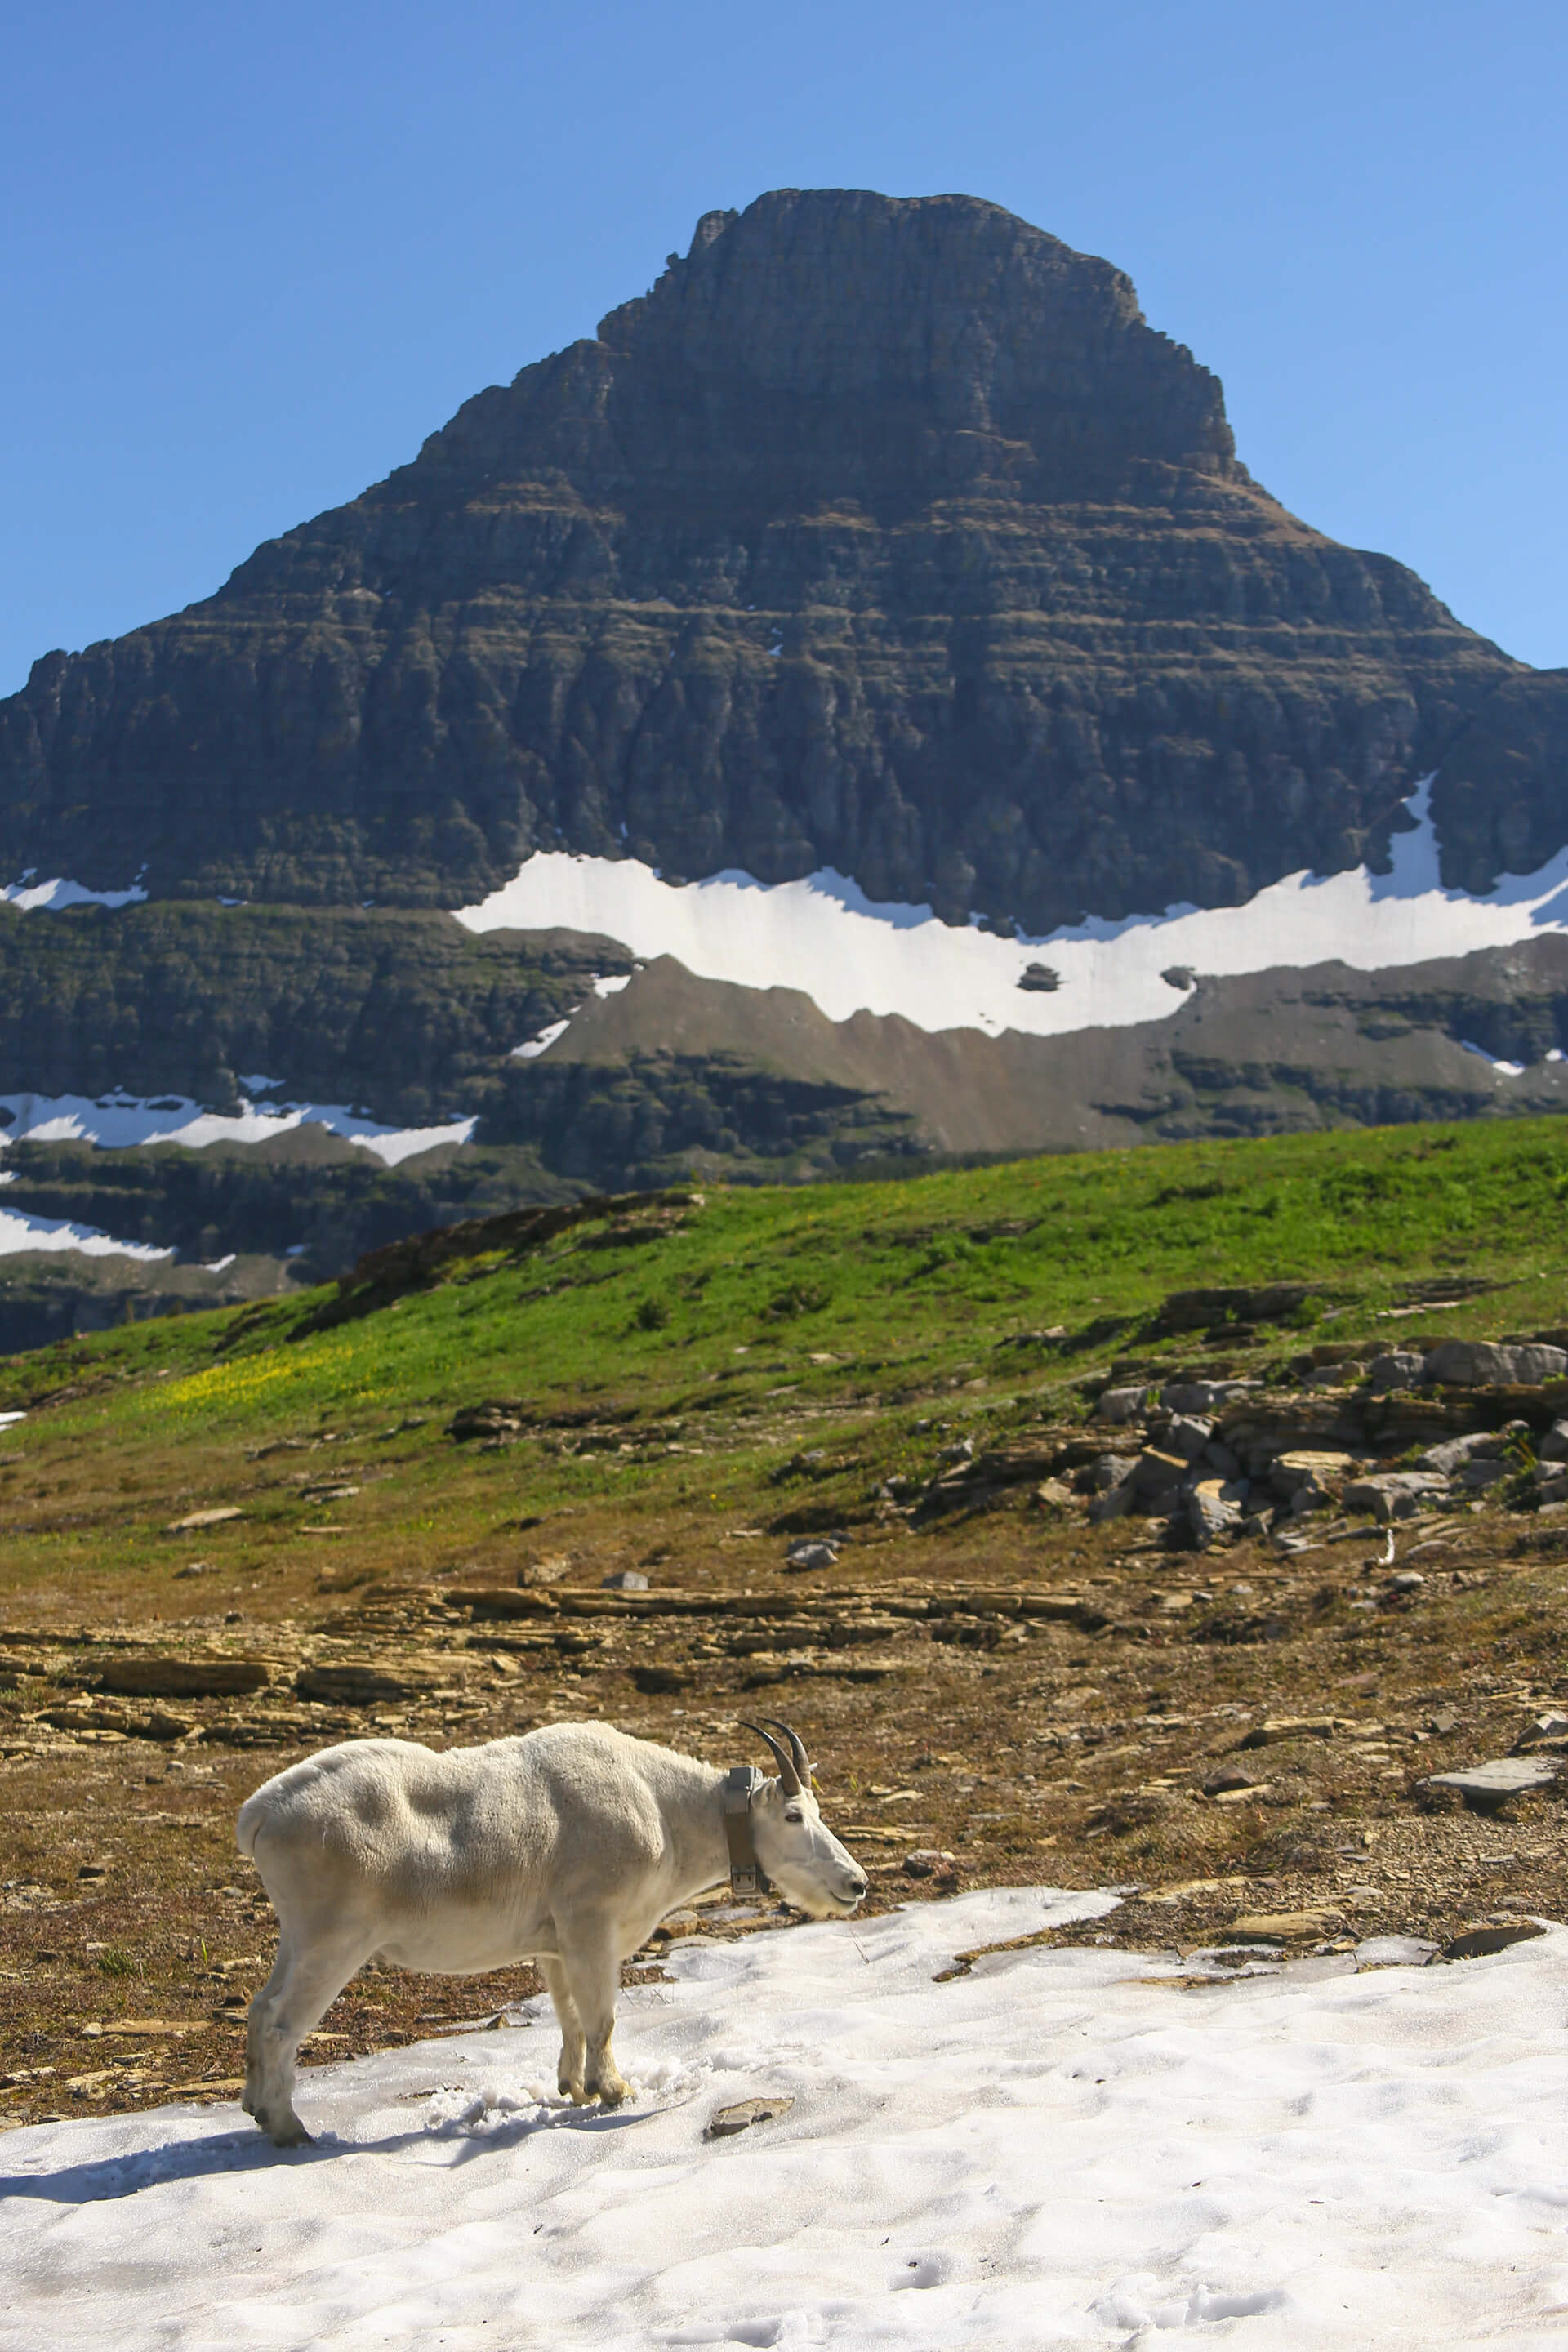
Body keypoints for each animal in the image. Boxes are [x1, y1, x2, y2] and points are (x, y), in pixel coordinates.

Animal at [235, 1716, 866, 2145]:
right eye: (794, 1816)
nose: (856, 1883)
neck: (664, 1811)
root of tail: (259, 1815)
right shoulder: (591, 1923)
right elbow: (602, 2017)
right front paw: (615, 2091)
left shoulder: (556, 1943)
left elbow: (569, 2015)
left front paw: (576, 2088)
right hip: (334, 1940)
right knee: (282, 2022)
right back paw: (288, 2127)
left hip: (299, 1937)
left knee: (259, 2007)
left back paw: (255, 2109)